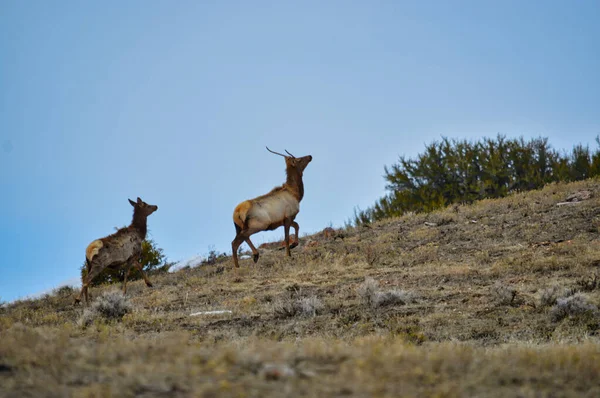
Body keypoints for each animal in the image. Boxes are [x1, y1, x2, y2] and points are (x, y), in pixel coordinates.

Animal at [231, 148, 314, 276]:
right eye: (299, 159)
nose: (310, 156)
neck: (296, 194)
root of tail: (237, 212)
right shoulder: (288, 216)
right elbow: (287, 236)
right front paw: (288, 254)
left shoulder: (283, 220)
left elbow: (297, 226)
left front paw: (294, 244)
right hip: (258, 225)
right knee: (236, 241)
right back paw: (243, 263)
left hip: (238, 227)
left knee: (241, 239)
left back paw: (249, 258)